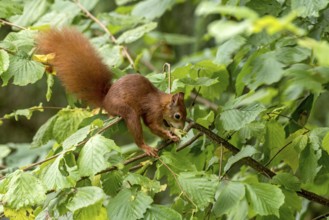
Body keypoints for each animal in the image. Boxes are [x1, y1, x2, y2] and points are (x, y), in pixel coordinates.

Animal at [36, 27, 186, 156]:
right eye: (177, 116)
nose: (183, 127)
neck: (161, 103)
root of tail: (105, 101)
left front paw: (173, 133)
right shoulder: (153, 110)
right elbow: (152, 125)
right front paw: (169, 134)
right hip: (124, 109)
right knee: (132, 119)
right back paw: (145, 147)